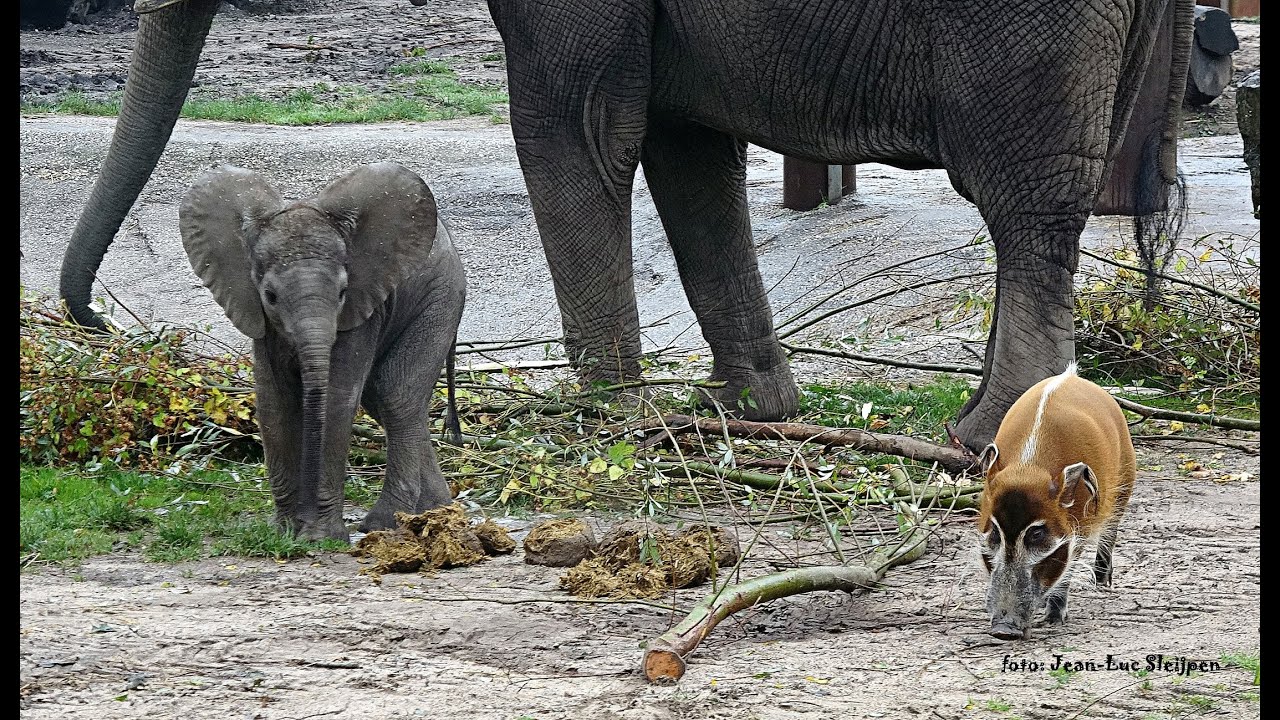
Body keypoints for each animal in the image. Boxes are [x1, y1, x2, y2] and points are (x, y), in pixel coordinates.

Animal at [57, 0, 1192, 454]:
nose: (96, 323)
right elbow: (686, 147)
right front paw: (741, 413)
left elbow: (578, 127)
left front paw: (605, 415)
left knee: (1020, 203)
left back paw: (984, 434)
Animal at [179, 161, 466, 541]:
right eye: (270, 296)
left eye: (343, 293)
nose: (305, 521)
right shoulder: (260, 318)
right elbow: (274, 401)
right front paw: (286, 533)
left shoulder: (361, 307)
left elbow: (336, 397)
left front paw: (320, 537)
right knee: (384, 400)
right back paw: (433, 511)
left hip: (439, 298)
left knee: (395, 396)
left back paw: (386, 523)